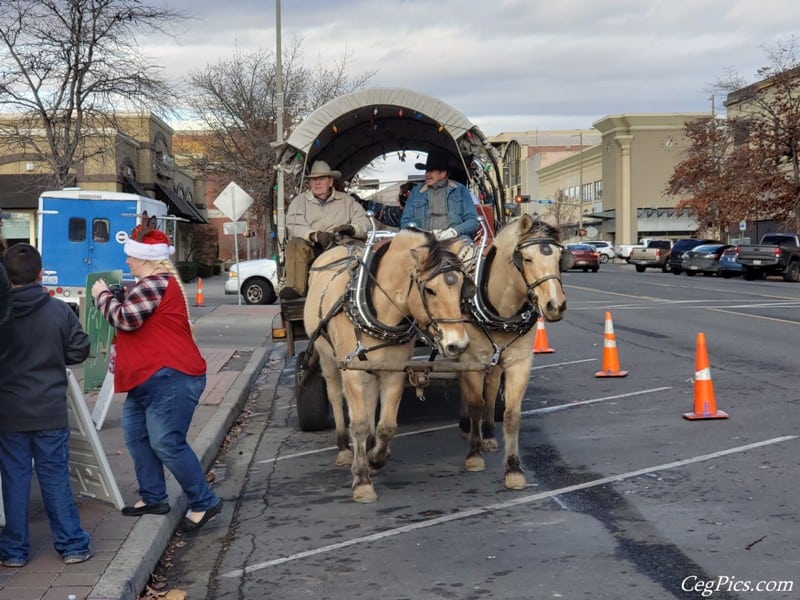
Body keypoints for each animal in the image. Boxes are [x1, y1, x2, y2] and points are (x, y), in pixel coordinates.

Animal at [304, 230, 468, 502]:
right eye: (430, 290)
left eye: (462, 287)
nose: (458, 344)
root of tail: (338, 245)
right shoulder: (351, 371)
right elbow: (358, 425)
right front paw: (361, 481)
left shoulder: (395, 370)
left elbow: (387, 425)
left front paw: (375, 459)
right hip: (327, 358)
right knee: (335, 396)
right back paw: (343, 448)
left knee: (371, 405)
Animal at [456, 213, 568, 490]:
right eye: (526, 259)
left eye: (558, 258)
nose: (555, 305)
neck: (501, 309)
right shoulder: (471, 360)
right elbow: (475, 404)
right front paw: (473, 455)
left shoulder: (519, 362)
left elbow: (511, 415)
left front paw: (513, 469)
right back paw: (467, 426)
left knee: (491, 388)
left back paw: (487, 433)